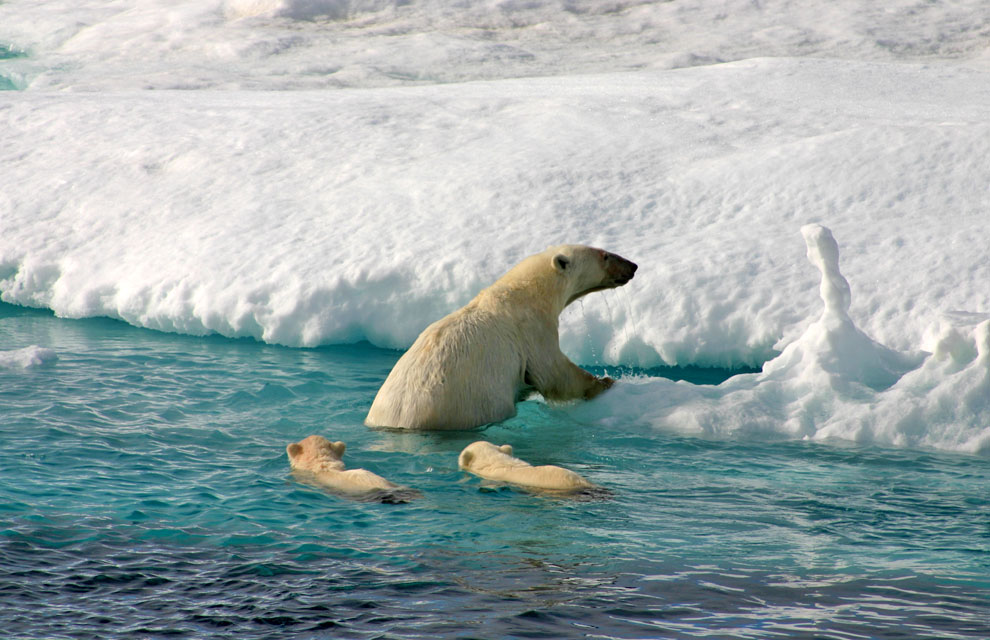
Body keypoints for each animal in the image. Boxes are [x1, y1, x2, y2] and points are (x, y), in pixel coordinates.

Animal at [368, 245, 640, 430]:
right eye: (605, 255)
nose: (633, 266)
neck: (523, 293)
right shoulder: (532, 330)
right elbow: (554, 372)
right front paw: (605, 381)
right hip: (466, 408)